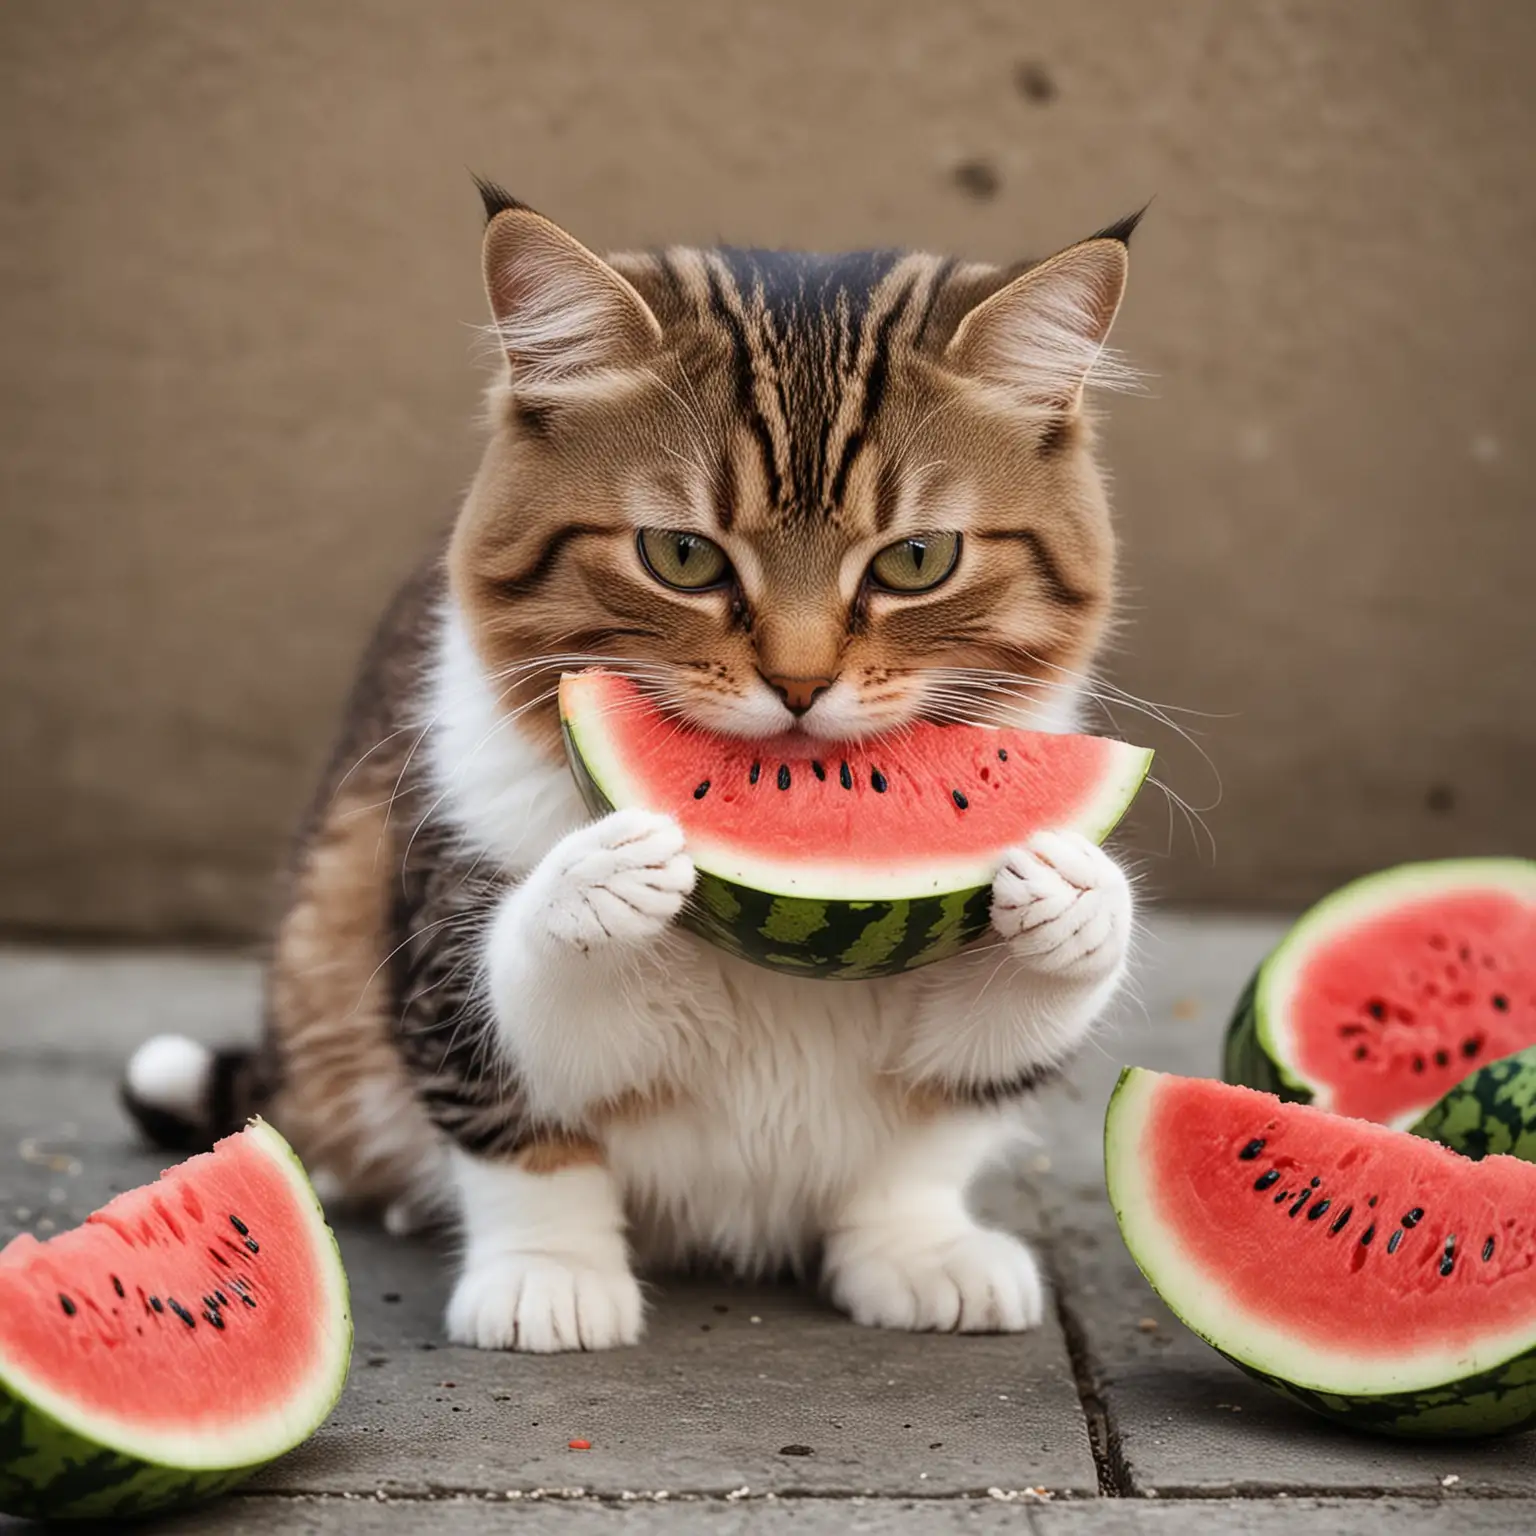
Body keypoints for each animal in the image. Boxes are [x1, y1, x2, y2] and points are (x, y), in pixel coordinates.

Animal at [122, 182, 1142, 1357]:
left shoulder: (949, 1058)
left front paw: (1077, 903)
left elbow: (936, 1128)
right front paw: (549, 1274)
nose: (799, 686)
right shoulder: (447, 953)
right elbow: (530, 1081)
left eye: (918, 560)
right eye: (682, 555)